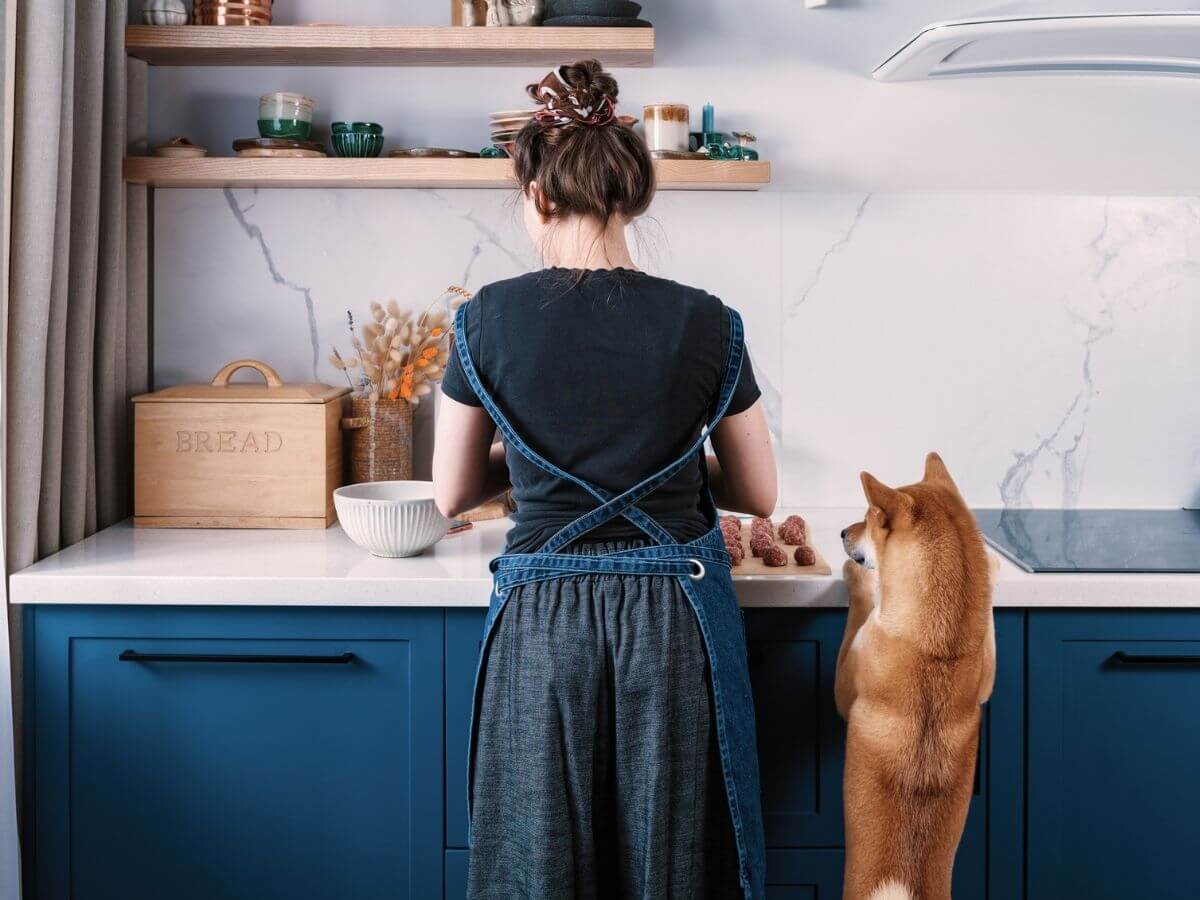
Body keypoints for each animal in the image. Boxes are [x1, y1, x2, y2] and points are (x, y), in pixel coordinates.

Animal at [835, 458, 993, 900]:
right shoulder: (985, 673)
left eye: (870, 517)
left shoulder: (845, 681)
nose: (841, 532)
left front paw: (860, 580)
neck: (938, 645)